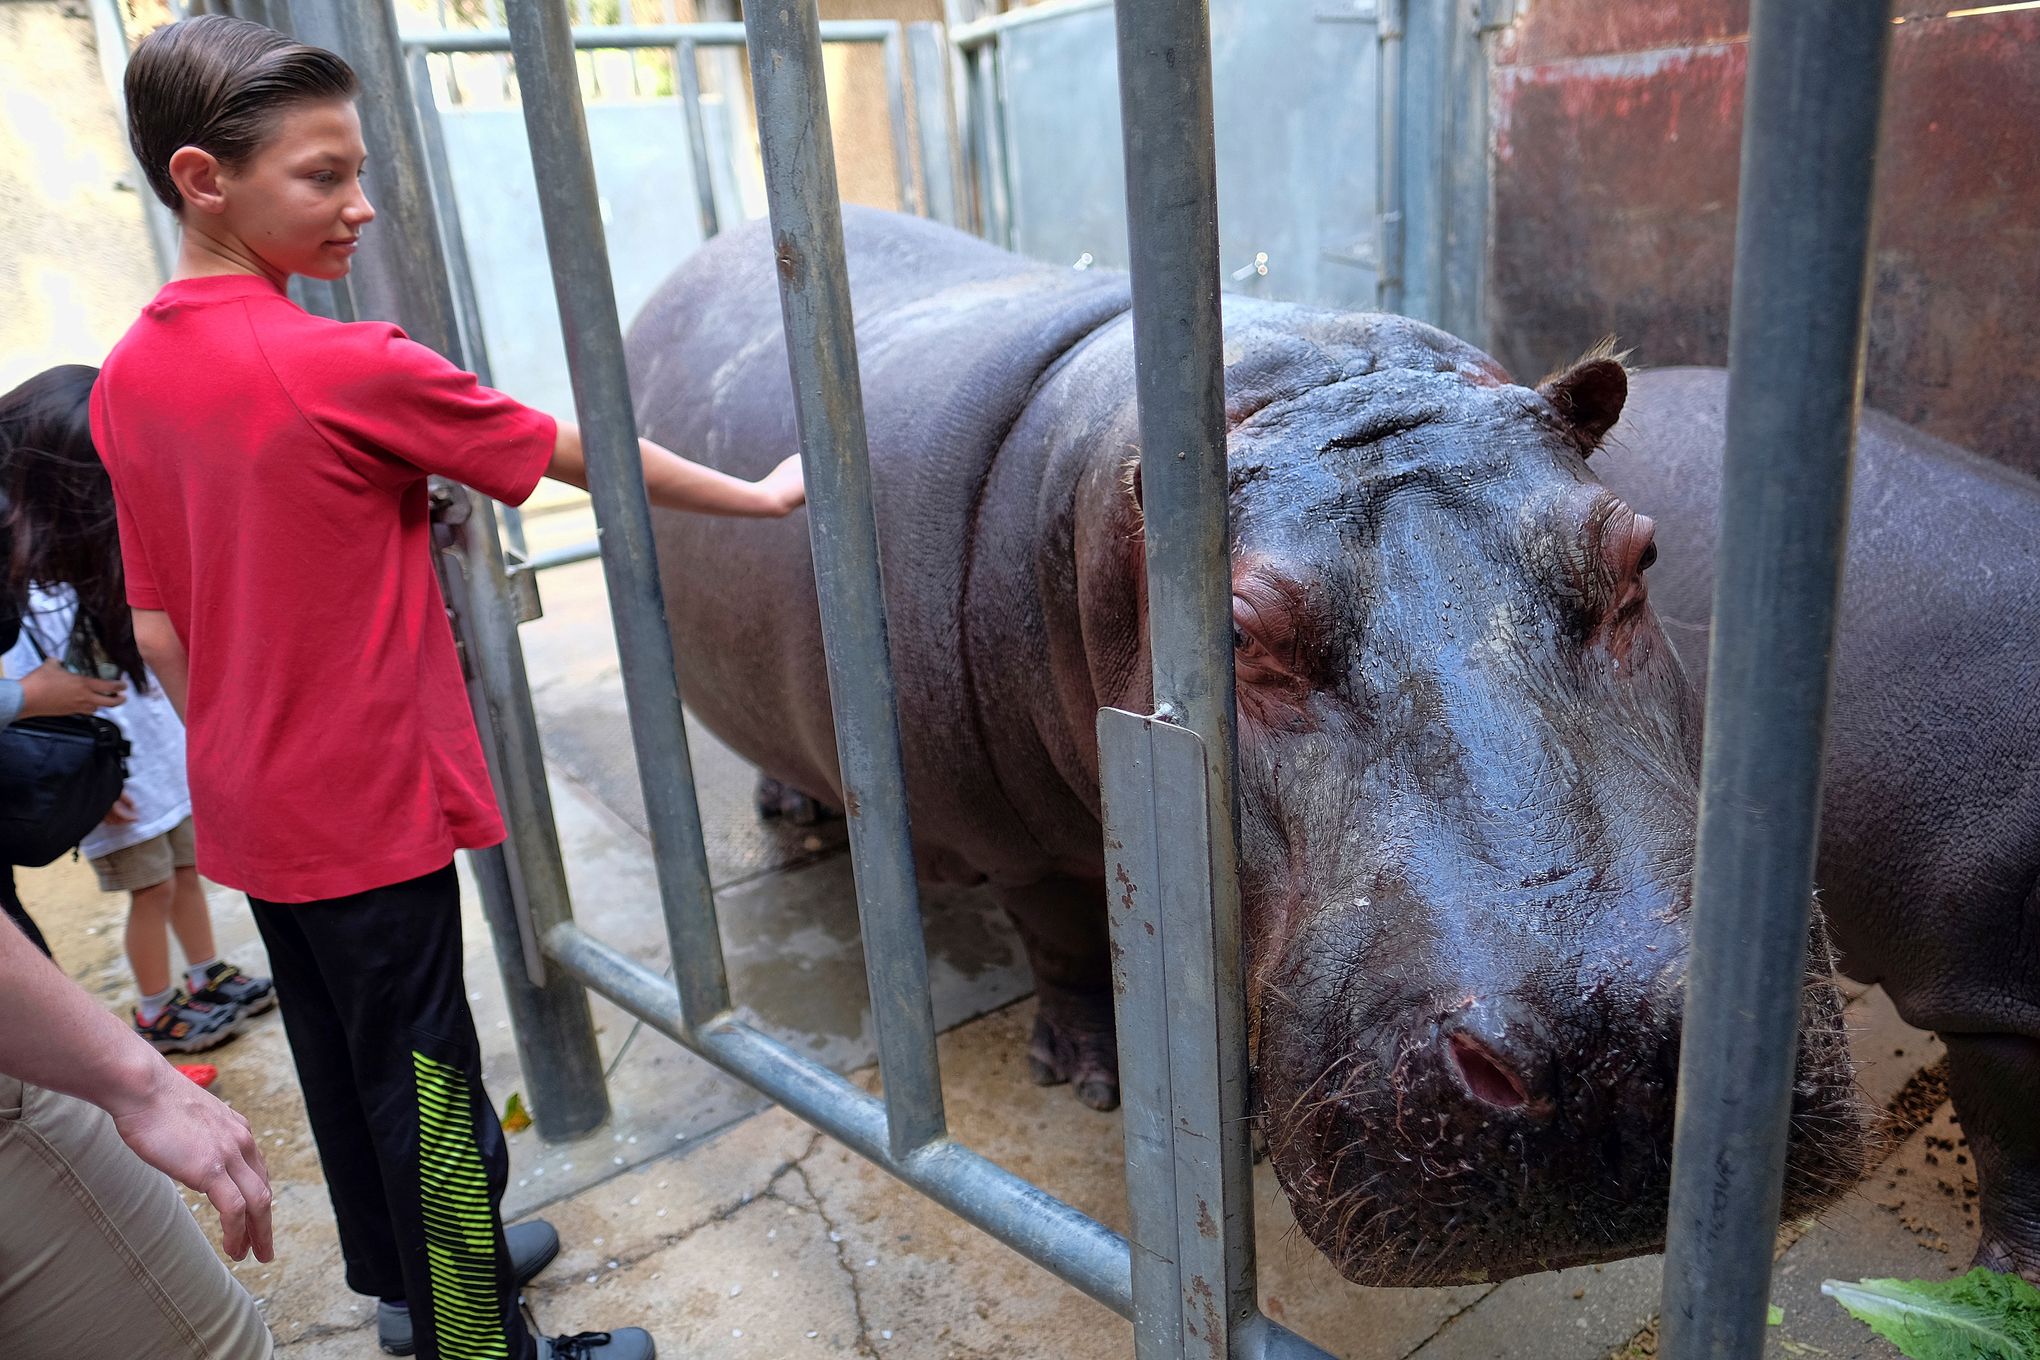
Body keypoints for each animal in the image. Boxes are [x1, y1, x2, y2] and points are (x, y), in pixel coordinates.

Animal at [620, 213, 1868, 1288]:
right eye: (1229, 631)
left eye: (1639, 554)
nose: (1607, 1045)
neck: (1298, 378)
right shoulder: (1012, 839)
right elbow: (1061, 934)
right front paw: (1099, 1078)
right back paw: (795, 815)